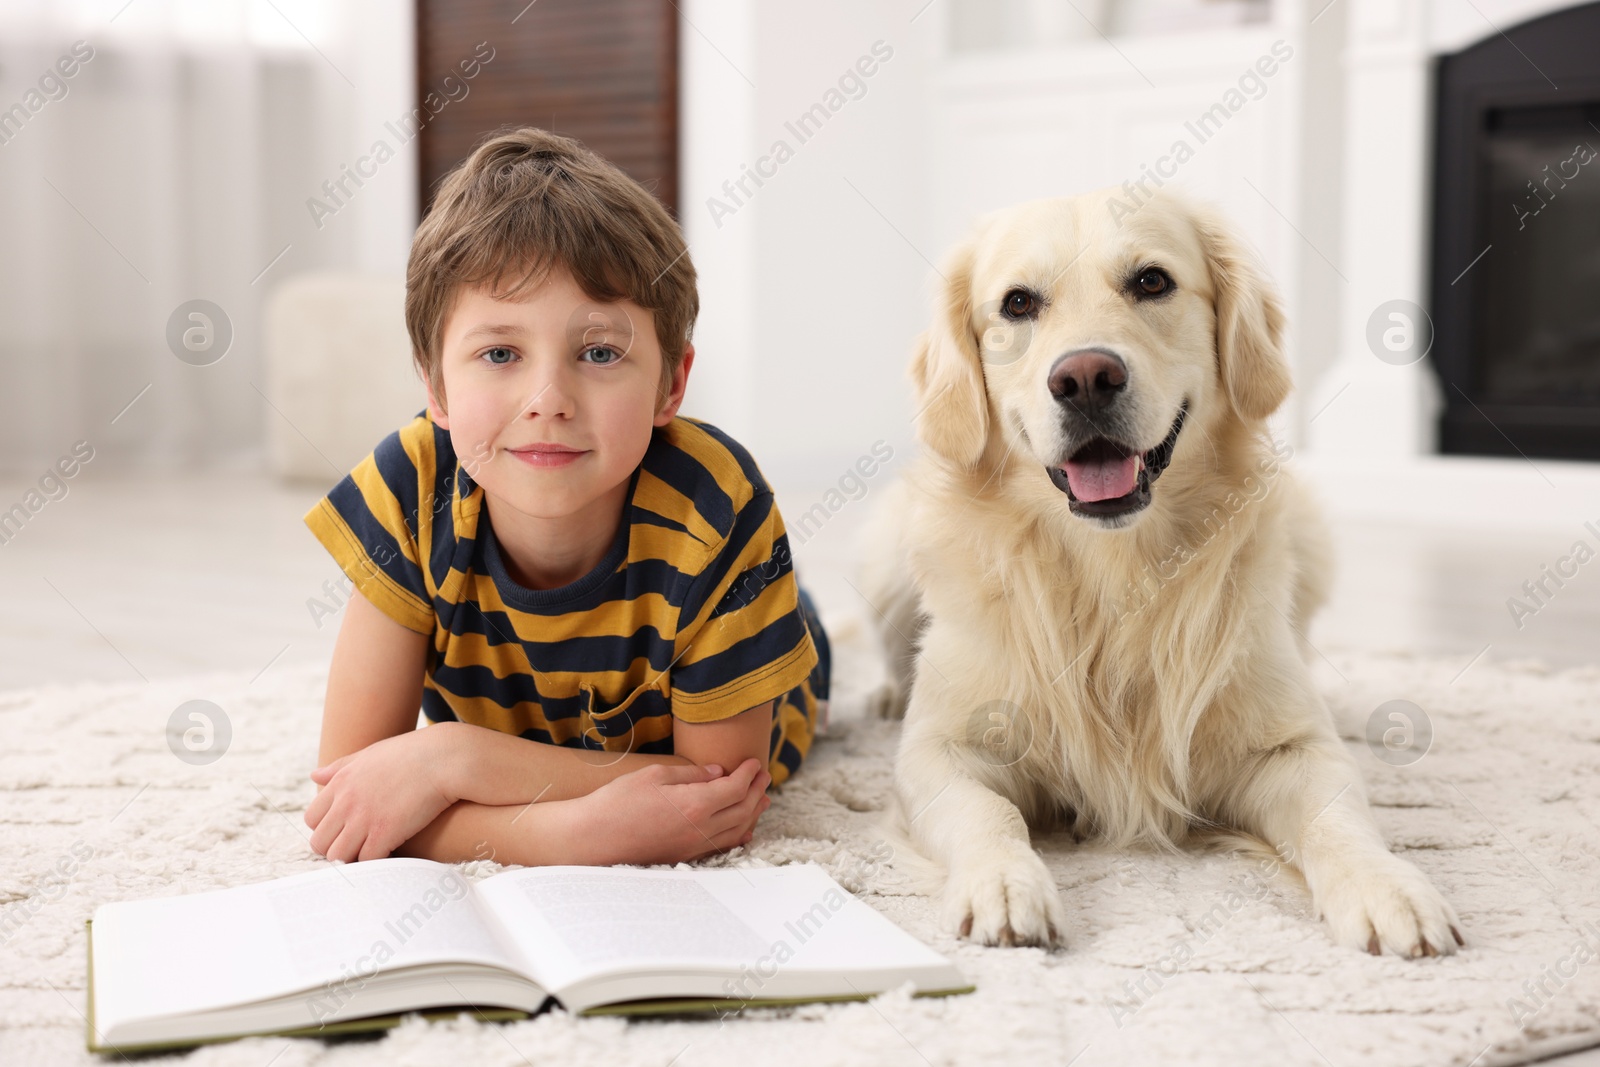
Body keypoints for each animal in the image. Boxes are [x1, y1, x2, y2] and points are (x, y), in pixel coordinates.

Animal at [857, 185, 1465, 959]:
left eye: (1152, 281)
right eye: (1017, 303)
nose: (1086, 378)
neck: (1114, 573)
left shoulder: (1295, 745)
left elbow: (1337, 816)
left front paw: (1387, 887)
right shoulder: (939, 751)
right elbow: (985, 811)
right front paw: (1003, 883)